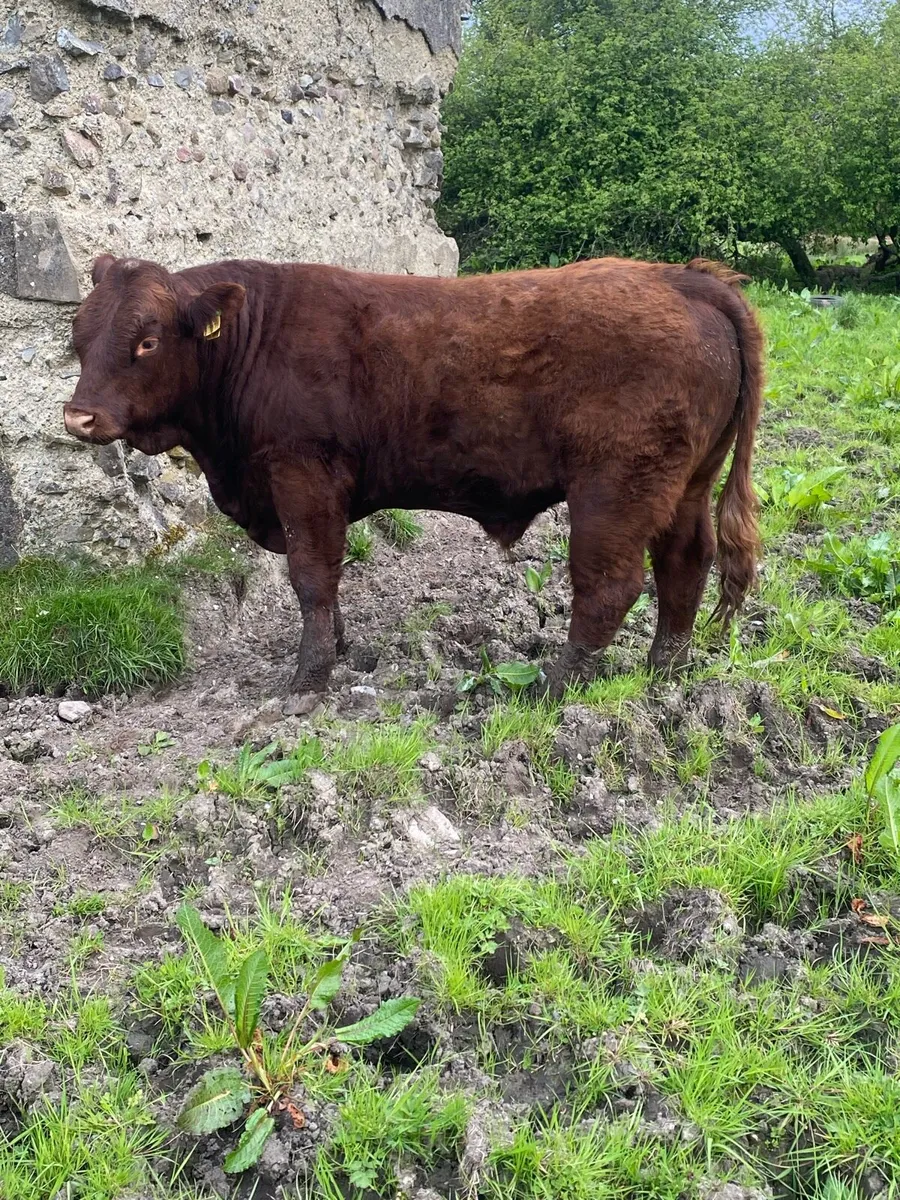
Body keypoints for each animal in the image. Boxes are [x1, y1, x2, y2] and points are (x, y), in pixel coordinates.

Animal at [63, 254, 763, 699]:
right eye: (78, 333)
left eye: (148, 340)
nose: (79, 416)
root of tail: (686, 278)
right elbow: (324, 579)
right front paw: (338, 649)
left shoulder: (303, 474)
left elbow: (310, 576)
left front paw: (307, 681)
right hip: (685, 484)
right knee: (686, 561)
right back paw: (665, 672)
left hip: (615, 489)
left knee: (610, 587)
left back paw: (553, 688)